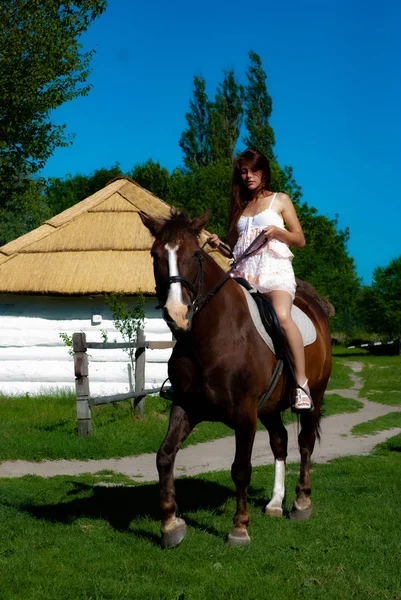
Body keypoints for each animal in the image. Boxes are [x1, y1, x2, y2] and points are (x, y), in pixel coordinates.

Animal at [141, 211, 332, 548]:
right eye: (155, 255)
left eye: (195, 255)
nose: (177, 314)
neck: (212, 336)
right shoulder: (186, 406)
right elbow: (164, 456)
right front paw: (170, 524)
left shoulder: (244, 414)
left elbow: (241, 469)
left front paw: (239, 528)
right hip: (268, 408)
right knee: (280, 440)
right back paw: (275, 503)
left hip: (315, 398)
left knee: (305, 443)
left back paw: (300, 502)